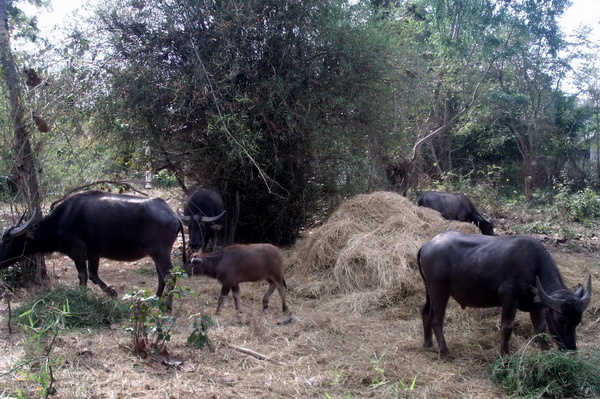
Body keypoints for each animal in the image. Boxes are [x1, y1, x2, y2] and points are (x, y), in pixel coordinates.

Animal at [0, 192, 185, 302]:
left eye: (7, 240)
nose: (0, 261)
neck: (62, 220)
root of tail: (173, 215)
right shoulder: (94, 254)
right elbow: (93, 275)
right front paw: (111, 292)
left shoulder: (78, 252)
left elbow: (83, 276)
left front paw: (81, 296)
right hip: (156, 254)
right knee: (161, 276)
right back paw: (155, 298)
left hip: (161, 253)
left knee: (169, 276)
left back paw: (166, 306)